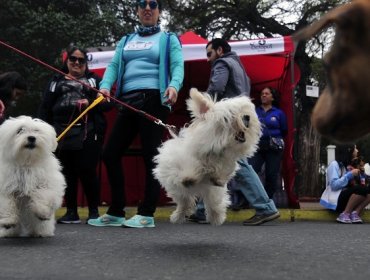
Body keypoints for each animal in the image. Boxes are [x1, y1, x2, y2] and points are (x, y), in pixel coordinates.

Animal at [153, 88, 260, 225]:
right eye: (229, 115)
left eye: (243, 112)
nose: (247, 117)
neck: (215, 149)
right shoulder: (181, 163)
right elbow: (190, 166)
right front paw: (190, 176)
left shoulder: (225, 165)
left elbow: (222, 174)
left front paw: (217, 178)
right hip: (176, 188)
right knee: (184, 202)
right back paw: (178, 216)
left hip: (209, 191)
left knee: (211, 202)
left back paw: (215, 217)